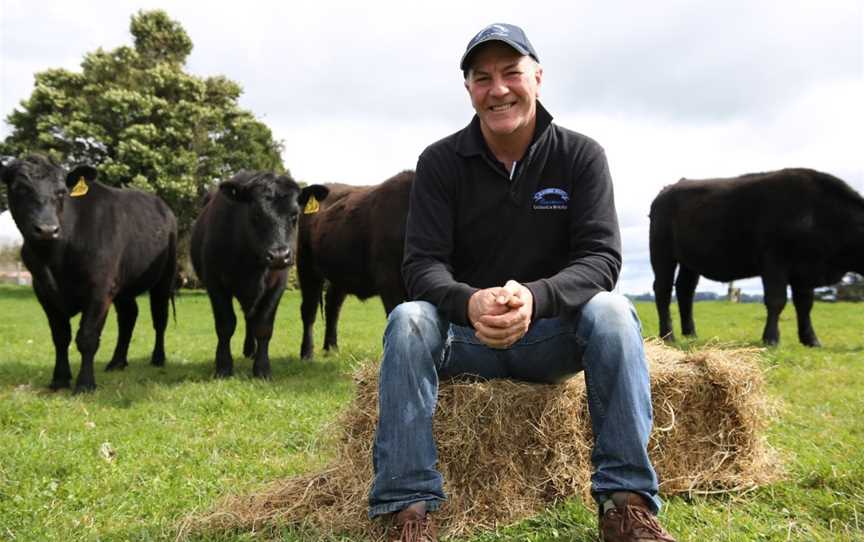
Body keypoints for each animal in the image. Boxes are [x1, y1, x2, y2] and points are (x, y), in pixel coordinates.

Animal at [1, 155, 177, 394]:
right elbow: (60, 336)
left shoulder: (99, 289)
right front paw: (60, 379)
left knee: (159, 317)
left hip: (164, 278)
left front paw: (85, 383)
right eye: (20, 189)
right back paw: (117, 362)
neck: (54, 258)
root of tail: (163, 206)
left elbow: (87, 337)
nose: (47, 229)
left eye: (61, 192)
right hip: (122, 287)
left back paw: (158, 358)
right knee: (128, 316)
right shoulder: (43, 291)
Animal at [192, 170, 328, 378]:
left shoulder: (277, 285)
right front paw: (223, 367)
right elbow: (225, 325)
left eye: (295, 216)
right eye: (255, 214)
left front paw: (262, 368)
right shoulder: (215, 283)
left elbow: (263, 327)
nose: (279, 255)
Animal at [298, 170, 414, 362]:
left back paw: (331, 348)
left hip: (339, 274)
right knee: (309, 309)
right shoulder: (389, 281)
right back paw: (307, 353)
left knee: (333, 305)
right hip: (306, 265)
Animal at [648, 170, 864, 346]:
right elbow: (776, 300)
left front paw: (811, 340)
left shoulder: (804, 271)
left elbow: (805, 304)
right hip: (662, 252)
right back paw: (668, 336)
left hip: (690, 261)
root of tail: (669, 189)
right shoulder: (775, 262)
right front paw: (771, 339)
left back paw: (690, 334)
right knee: (663, 289)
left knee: (685, 289)